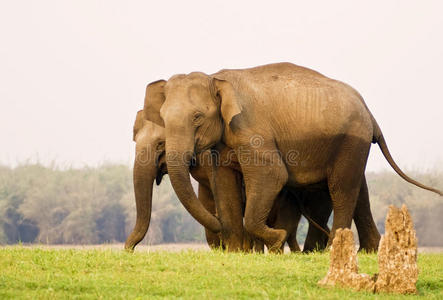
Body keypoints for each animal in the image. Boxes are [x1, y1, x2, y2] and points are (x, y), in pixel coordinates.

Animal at [144, 62, 442, 252]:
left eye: (197, 117)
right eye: (163, 117)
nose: (217, 228)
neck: (216, 77)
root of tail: (368, 110)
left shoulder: (251, 129)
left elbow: (273, 175)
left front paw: (276, 240)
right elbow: (224, 183)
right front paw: (237, 252)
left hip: (352, 140)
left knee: (342, 189)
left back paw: (334, 249)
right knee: (359, 187)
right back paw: (364, 250)